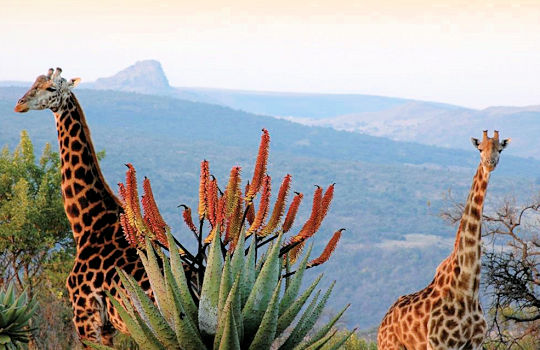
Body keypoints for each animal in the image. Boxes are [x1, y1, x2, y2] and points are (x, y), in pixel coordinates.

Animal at [13, 67, 152, 346]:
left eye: (51, 88)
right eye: (34, 83)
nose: (19, 104)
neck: (88, 223)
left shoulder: (86, 317)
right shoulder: (107, 328)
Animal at [376, 131, 510, 350]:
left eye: (500, 149)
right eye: (480, 148)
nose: (489, 163)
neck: (467, 288)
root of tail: (383, 321)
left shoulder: (475, 343)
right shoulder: (439, 343)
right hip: (390, 346)